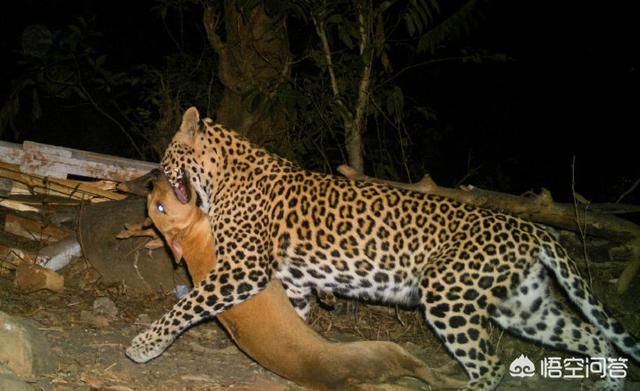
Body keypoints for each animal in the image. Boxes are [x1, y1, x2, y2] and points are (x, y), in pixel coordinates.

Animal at [147, 175, 462, 391]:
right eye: (159, 207)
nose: (152, 179)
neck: (192, 239)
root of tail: (350, 381)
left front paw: (327, 295)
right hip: (390, 350)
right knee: (432, 377)